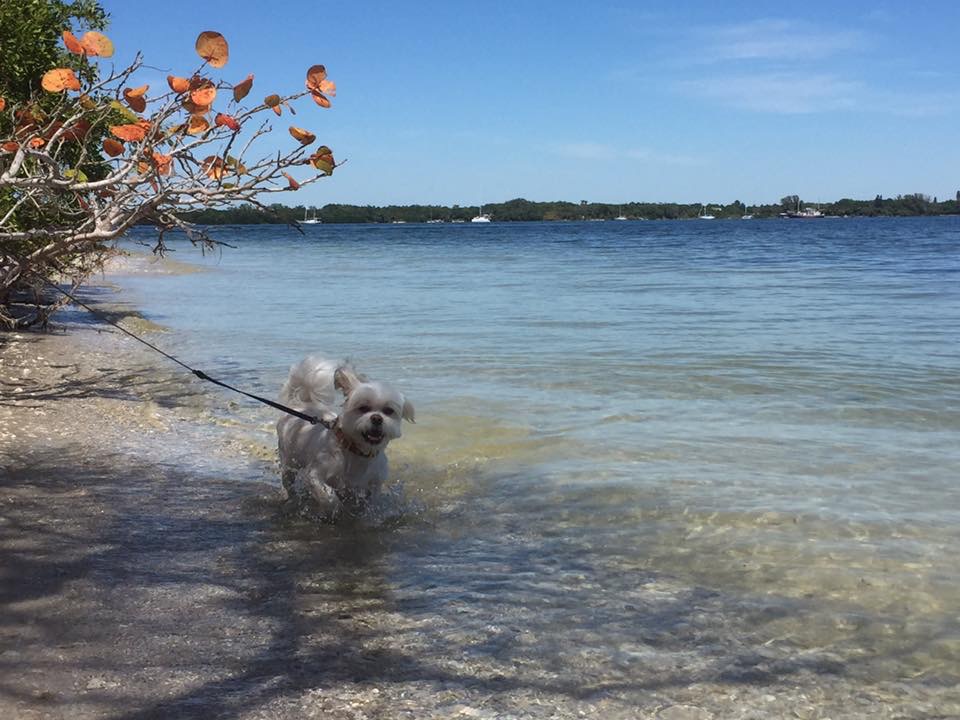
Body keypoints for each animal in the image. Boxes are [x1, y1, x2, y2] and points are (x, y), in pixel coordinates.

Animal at [276, 356, 414, 516]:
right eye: (363, 408)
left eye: (388, 411)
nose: (377, 418)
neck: (357, 452)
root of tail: (301, 404)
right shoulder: (315, 475)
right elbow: (329, 496)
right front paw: (336, 509)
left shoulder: (372, 484)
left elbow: (368, 500)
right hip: (289, 460)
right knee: (288, 480)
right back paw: (289, 498)